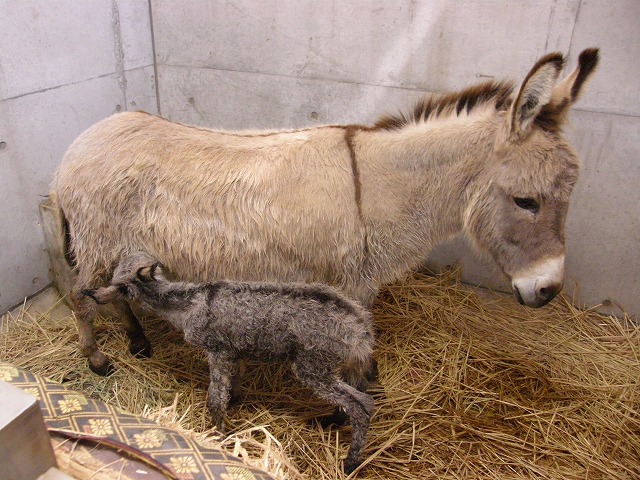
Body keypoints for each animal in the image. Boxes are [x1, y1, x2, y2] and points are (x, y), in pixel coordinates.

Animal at [83, 253, 378, 474]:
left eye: (121, 286)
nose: (93, 293)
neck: (188, 304)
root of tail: (361, 327)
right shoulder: (234, 351)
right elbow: (230, 386)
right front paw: (233, 403)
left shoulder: (218, 350)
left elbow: (215, 397)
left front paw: (219, 435)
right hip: (331, 366)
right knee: (357, 394)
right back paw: (333, 421)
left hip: (312, 366)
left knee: (362, 404)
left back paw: (351, 462)